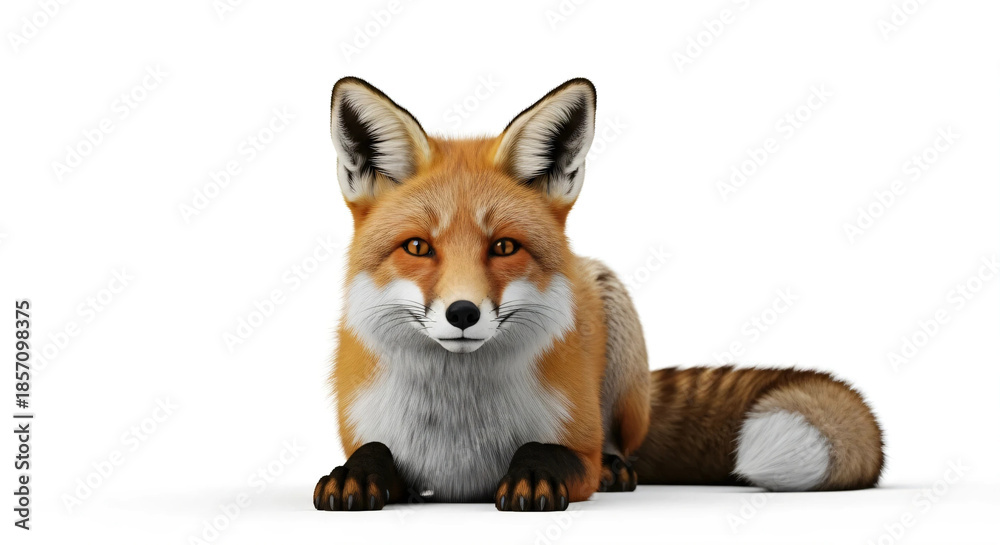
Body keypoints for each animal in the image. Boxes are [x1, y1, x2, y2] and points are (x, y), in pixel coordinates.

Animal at [313, 77, 884, 512]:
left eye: (503, 246)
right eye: (418, 247)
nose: (463, 313)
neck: (459, 432)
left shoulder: (576, 440)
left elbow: (547, 451)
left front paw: (535, 475)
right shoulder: (366, 429)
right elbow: (374, 451)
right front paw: (355, 475)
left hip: (616, 315)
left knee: (624, 446)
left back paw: (618, 469)